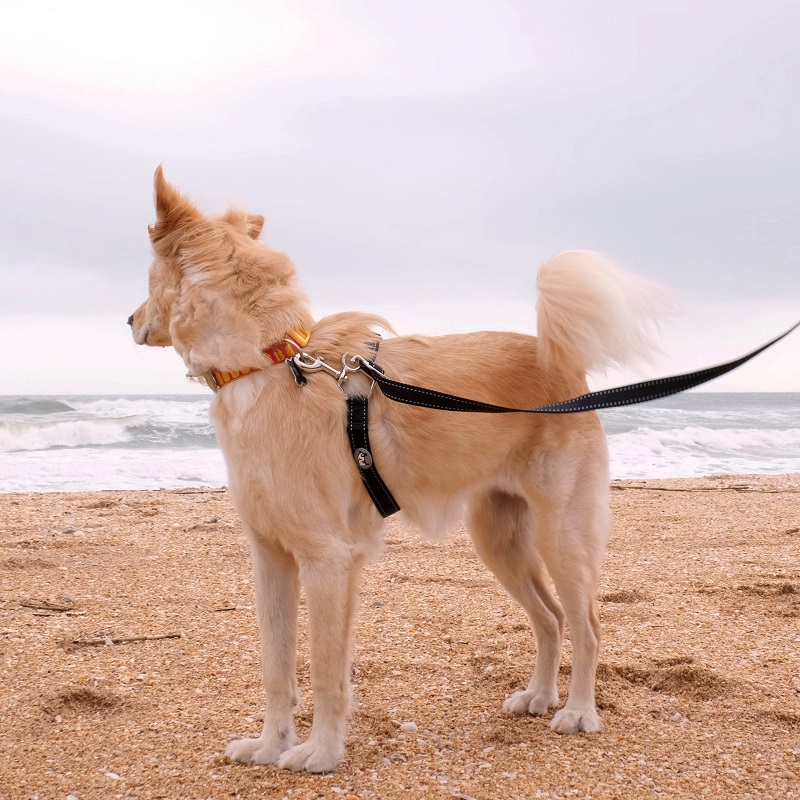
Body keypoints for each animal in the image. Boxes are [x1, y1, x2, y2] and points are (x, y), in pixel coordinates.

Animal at [130, 166, 664, 772]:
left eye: (148, 279)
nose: (128, 320)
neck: (269, 364)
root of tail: (559, 362)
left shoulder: (327, 560)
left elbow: (324, 670)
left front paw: (321, 752)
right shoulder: (270, 557)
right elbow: (276, 666)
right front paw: (270, 745)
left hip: (562, 536)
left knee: (587, 624)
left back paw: (577, 713)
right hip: (498, 539)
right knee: (550, 619)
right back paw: (540, 696)